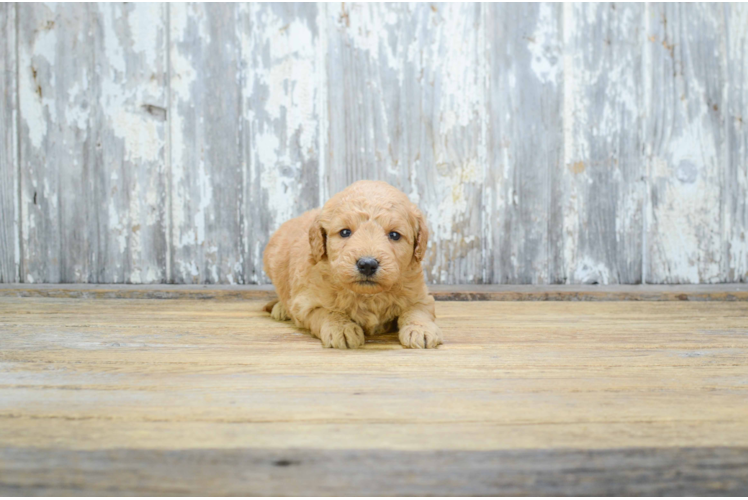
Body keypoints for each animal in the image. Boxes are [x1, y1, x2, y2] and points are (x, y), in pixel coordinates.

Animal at [262, 179, 442, 348]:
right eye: (345, 232)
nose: (367, 265)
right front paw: (341, 329)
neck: (368, 296)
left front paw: (421, 330)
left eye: (395, 235)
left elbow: (417, 310)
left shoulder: (420, 295)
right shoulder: (306, 304)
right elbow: (328, 312)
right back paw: (281, 308)